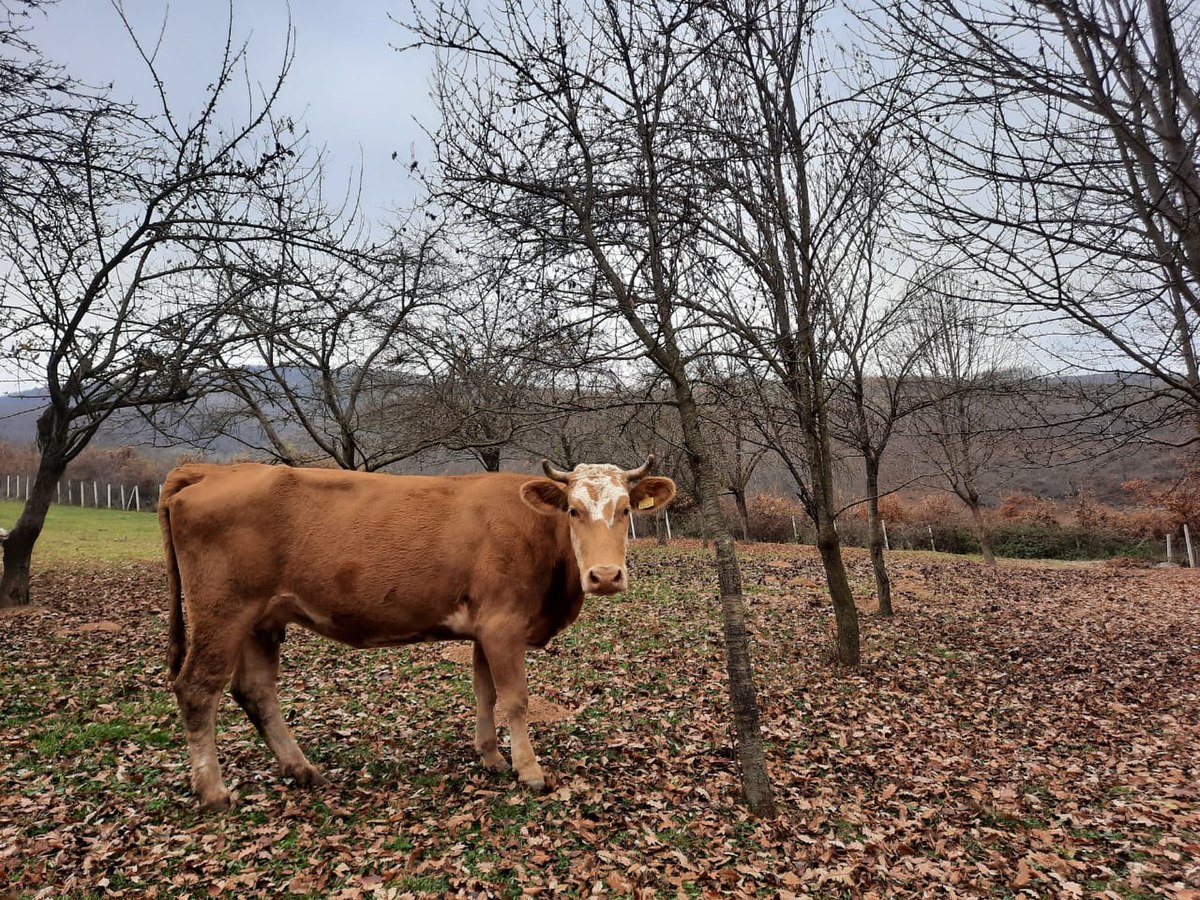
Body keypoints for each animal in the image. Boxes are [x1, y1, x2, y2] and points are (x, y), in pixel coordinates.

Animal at [159, 458, 676, 811]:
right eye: (572, 509)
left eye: (625, 509)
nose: (605, 576)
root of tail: (208, 470)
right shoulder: (503, 625)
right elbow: (515, 699)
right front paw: (528, 770)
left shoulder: (484, 629)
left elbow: (484, 692)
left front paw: (490, 757)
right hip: (222, 613)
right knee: (198, 690)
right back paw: (213, 790)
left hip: (260, 620)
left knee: (256, 692)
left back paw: (302, 769)